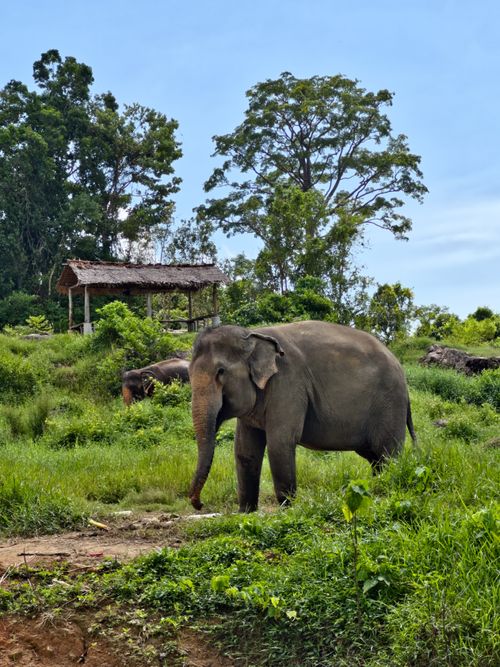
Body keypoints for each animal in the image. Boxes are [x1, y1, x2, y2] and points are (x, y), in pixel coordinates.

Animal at [188, 321, 416, 512]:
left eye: (220, 372)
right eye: (188, 374)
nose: (199, 504)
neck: (253, 334)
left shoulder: (287, 383)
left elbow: (280, 443)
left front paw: (287, 511)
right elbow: (245, 451)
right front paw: (245, 513)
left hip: (390, 404)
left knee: (387, 453)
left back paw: (385, 490)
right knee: (375, 457)